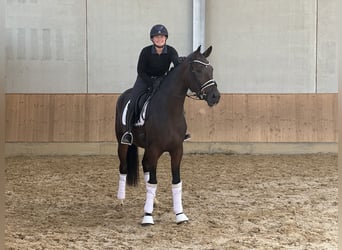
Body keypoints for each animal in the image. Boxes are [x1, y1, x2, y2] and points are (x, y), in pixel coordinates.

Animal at [116, 46, 220, 226]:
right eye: (198, 70)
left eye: (211, 69)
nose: (215, 96)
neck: (168, 109)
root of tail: (124, 95)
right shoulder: (155, 149)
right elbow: (153, 182)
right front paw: (147, 217)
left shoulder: (177, 150)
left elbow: (176, 182)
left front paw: (180, 214)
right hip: (122, 144)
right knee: (123, 167)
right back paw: (120, 200)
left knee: (145, 166)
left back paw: (154, 201)